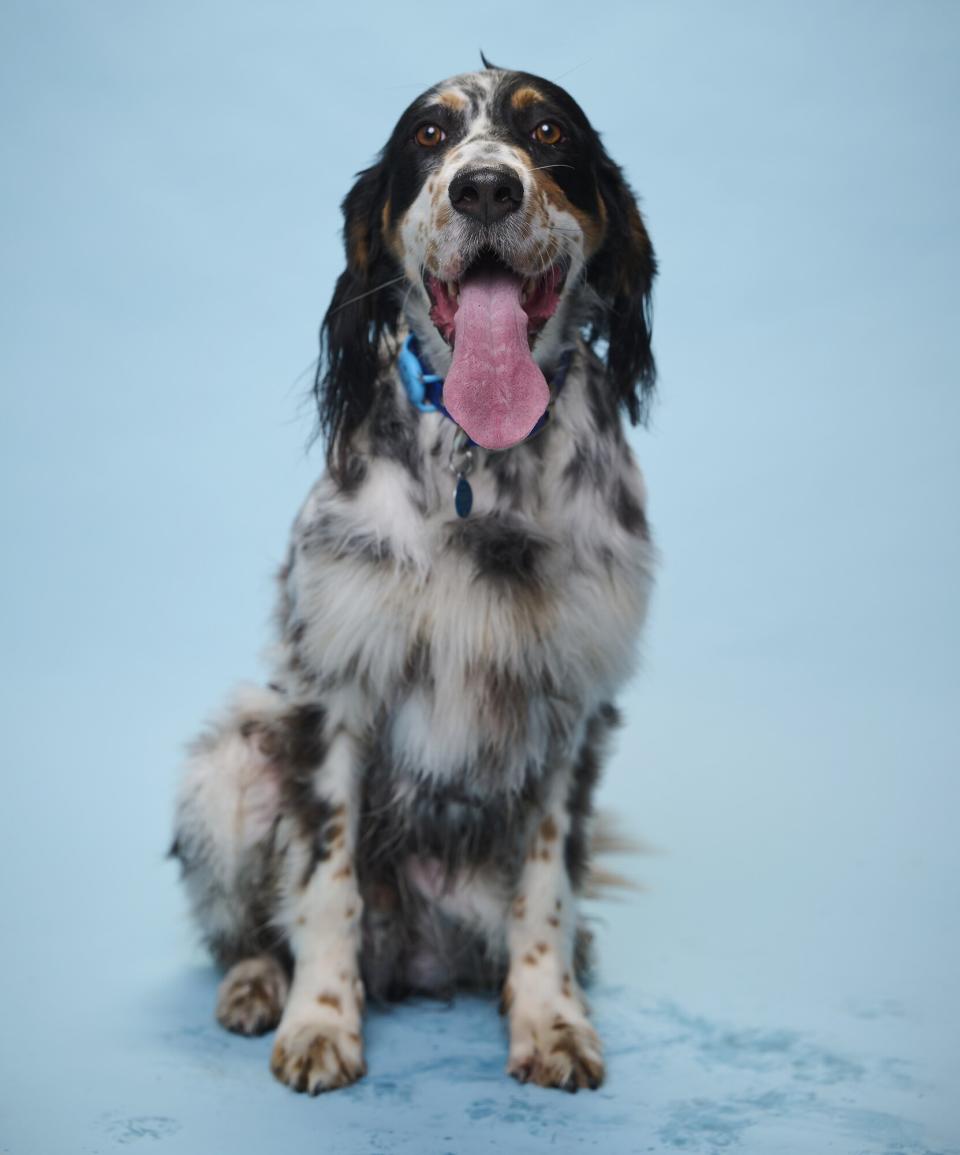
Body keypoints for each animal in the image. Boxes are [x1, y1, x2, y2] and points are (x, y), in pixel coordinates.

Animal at [168, 60, 656, 1090]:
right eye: (429, 138)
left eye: (548, 131)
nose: (486, 188)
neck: (484, 462)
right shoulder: (336, 692)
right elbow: (326, 882)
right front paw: (320, 1021)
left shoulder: (574, 709)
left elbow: (547, 890)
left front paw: (551, 1020)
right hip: (229, 765)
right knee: (249, 931)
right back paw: (256, 986)